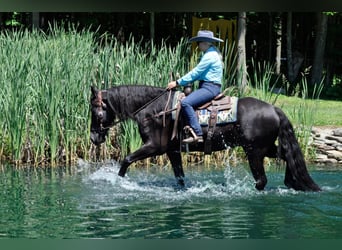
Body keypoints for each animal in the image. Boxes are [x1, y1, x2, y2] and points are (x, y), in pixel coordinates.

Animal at [90, 85, 320, 192]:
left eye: (96, 111)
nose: (93, 138)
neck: (154, 110)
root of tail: (273, 108)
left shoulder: (154, 147)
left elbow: (126, 159)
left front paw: (118, 182)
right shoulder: (172, 151)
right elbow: (180, 177)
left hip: (254, 152)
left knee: (262, 180)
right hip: (265, 148)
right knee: (287, 154)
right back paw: (293, 182)